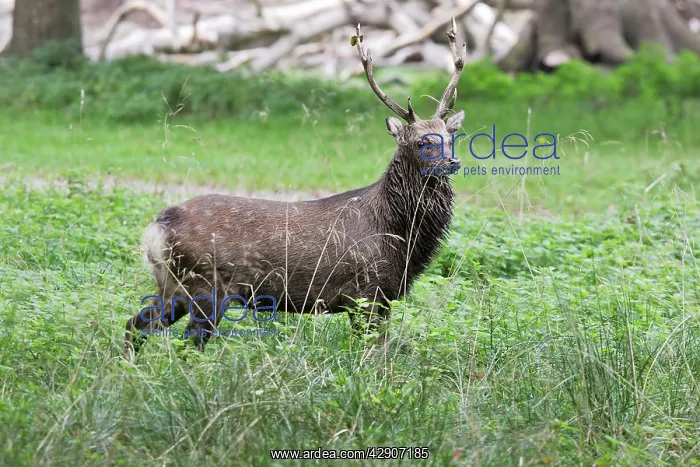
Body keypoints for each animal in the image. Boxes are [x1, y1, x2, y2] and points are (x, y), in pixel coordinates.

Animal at [125, 18, 467, 359]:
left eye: (450, 137)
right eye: (422, 141)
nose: (453, 162)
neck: (399, 235)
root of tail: (156, 228)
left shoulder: (385, 295)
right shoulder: (365, 290)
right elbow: (372, 353)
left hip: (174, 286)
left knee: (137, 323)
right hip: (206, 286)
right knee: (188, 342)